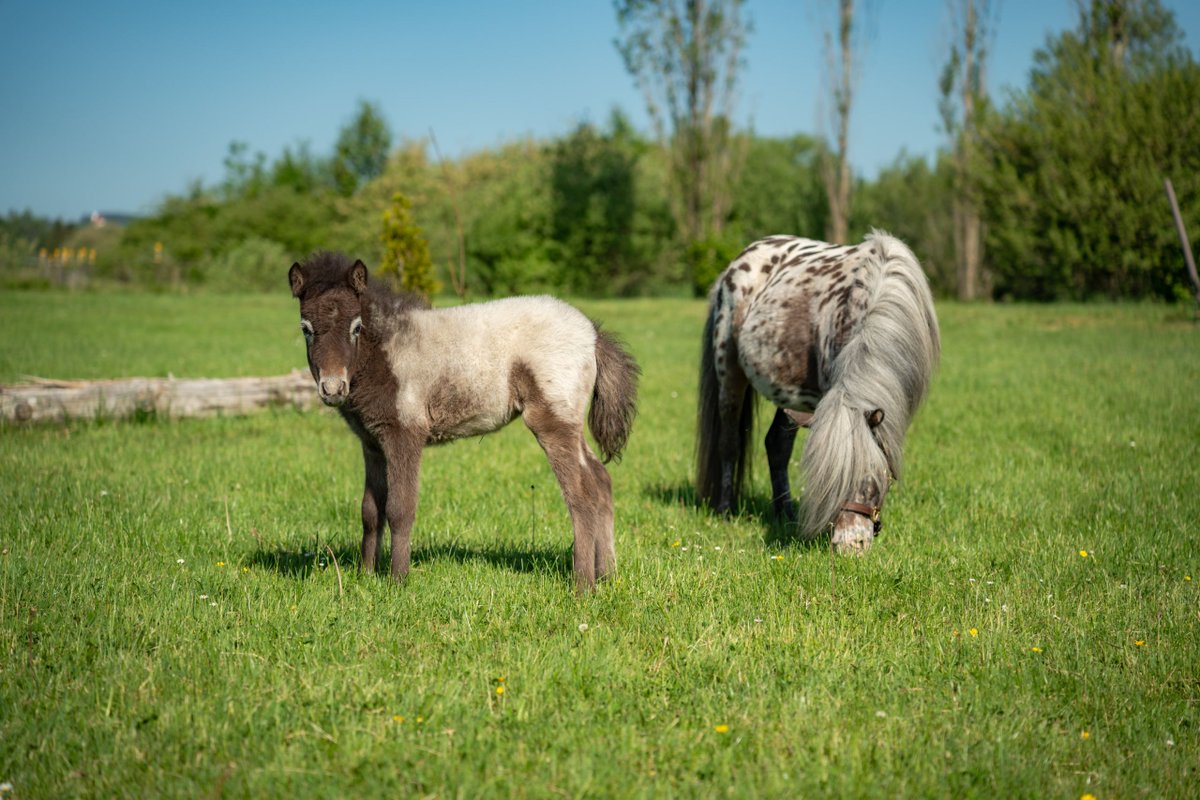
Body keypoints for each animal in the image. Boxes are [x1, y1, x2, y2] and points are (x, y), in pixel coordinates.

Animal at [288, 252, 640, 592]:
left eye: (356, 327)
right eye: (306, 328)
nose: (333, 389)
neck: (383, 355)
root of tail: (592, 332)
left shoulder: (405, 435)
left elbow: (400, 509)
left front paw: (397, 581)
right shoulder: (372, 444)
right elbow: (370, 511)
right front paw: (366, 576)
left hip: (553, 422)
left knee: (580, 494)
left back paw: (583, 586)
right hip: (569, 423)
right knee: (600, 481)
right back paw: (608, 575)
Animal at [696, 231, 940, 553]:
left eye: (874, 479)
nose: (850, 546)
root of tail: (734, 266)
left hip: (787, 397)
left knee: (776, 445)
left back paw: (785, 513)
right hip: (729, 373)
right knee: (729, 442)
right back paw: (726, 509)